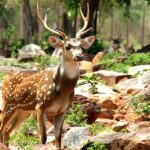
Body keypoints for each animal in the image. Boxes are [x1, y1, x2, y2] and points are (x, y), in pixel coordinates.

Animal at [0, 0, 95, 149]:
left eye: (80, 45)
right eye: (67, 46)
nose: (79, 56)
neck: (61, 91)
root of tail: (5, 79)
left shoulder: (62, 110)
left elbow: (58, 139)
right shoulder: (40, 106)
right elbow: (43, 138)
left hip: (23, 111)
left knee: (7, 133)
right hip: (8, 104)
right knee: (1, 129)